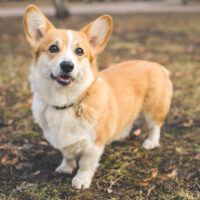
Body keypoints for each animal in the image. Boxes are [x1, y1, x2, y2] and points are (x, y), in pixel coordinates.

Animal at [24, 4, 173, 189]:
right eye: (53, 48)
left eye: (79, 51)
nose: (67, 66)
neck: (65, 101)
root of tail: (158, 66)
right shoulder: (64, 142)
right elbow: (67, 155)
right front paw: (65, 168)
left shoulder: (92, 146)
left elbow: (86, 164)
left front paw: (81, 181)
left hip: (153, 109)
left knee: (155, 126)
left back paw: (151, 142)